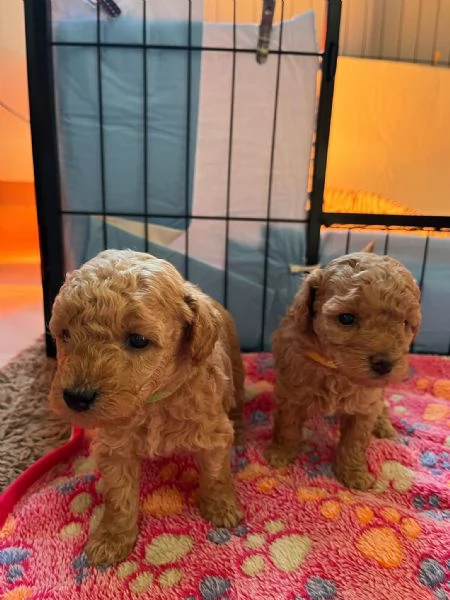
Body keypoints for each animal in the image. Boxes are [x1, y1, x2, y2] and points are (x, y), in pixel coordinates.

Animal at [49, 249, 245, 565]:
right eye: (64, 334)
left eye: (138, 340)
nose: (76, 398)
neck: (152, 401)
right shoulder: (115, 448)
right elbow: (119, 497)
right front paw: (112, 539)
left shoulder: (212, 433)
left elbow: (216, 474)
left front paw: (222, 508)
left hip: (236, 367)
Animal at [265, 243, 421, 490]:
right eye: (346, 318)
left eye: (405, 323)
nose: (384, 364)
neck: (335, 368)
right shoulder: (291, 392)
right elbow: (287, 425)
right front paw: (282, 453)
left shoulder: (365, 404)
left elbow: (355, 441)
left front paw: (353, 474)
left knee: (382, 405)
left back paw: (384, 427)